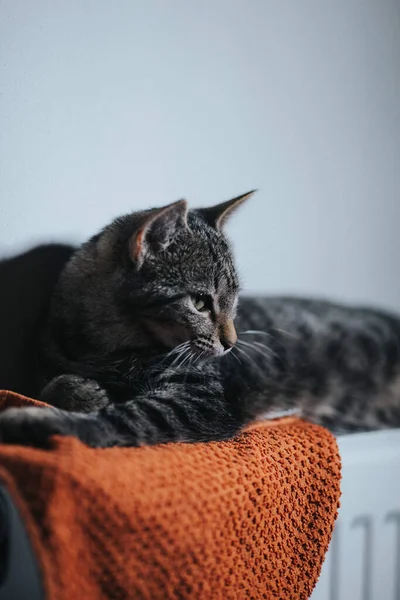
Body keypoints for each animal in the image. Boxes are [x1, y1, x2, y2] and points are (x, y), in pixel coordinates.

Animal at [0, 192, 398, 446]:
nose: (232, 343)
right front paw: (80, 390)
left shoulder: (201, 402)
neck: (108, 350)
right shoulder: (44, 358)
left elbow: (122, 419)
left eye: (234, 299)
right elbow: (45, 384)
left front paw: (38, 422)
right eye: (200, 302)